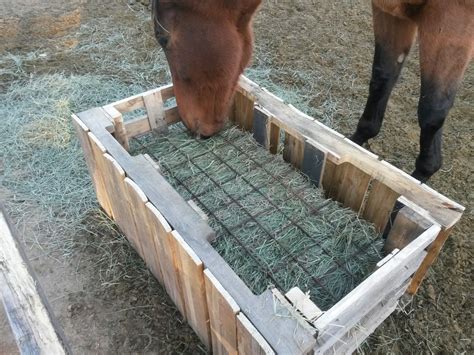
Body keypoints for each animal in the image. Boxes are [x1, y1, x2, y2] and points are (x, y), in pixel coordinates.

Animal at [154, 0, 472, 182]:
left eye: (163, 39)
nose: (189, 126)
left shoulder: (453, 17)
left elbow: (433, 107)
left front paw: (422, 175)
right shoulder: (391, 11)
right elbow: (383, 75)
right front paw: (358, 144)